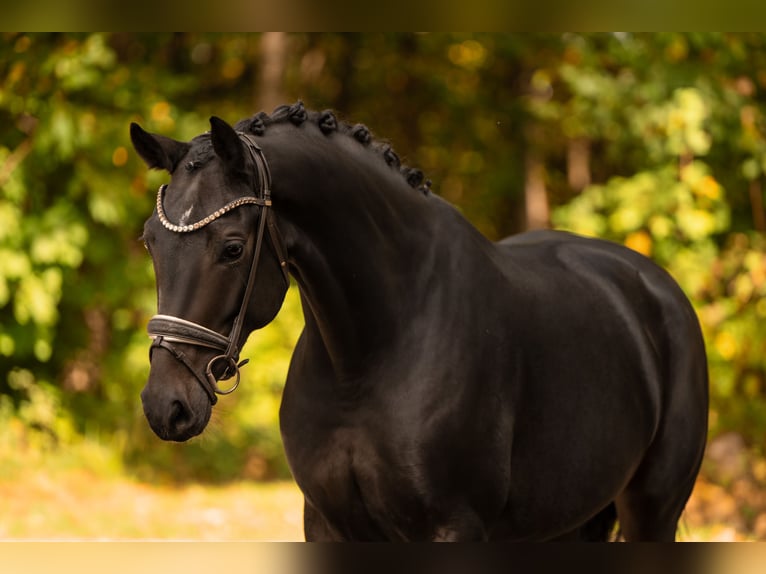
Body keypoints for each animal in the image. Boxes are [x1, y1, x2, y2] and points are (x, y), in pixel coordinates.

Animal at [130, 102, 708, 541]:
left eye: (231, 248)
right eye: (151, 243)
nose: (166, 406)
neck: (369, 357)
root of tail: (656, 287)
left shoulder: (455, 528)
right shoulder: (328, 524)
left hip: (652, 512)